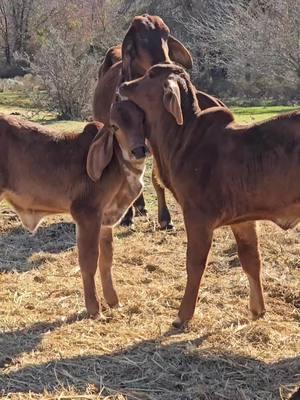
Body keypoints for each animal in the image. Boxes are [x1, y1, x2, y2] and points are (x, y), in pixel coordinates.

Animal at [0, 101, 146, 318]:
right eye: (115, 127)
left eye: (143, 119)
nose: (139, 151)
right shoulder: (86, 213)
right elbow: (89, 261)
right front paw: (94, 309)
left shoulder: (105, 220)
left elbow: (107, 260)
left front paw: (114, 301)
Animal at [118, 65, 300, 326]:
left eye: (151, 75)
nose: (124, 84)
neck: (182, 139)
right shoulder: (243, 219)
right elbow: (251, 260)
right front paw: (257, 309)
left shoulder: (197, 216)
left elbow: (194, 264)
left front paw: (183, 315)